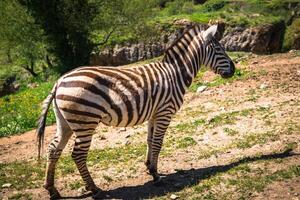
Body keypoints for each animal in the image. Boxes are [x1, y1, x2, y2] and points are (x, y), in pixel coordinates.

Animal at [37, 24, 234, 198]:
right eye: (219, 50)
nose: (233, 70)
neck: (176, 73)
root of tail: (59, 81)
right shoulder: (165, 111)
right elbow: (158, 143)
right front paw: (156, 175)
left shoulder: (155, 113)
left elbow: (150, 140)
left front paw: (149, 167)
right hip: (86, 121)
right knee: (77, 154)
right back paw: (94, 189)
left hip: (65, 122)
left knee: (53, 150)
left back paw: (52, 190)